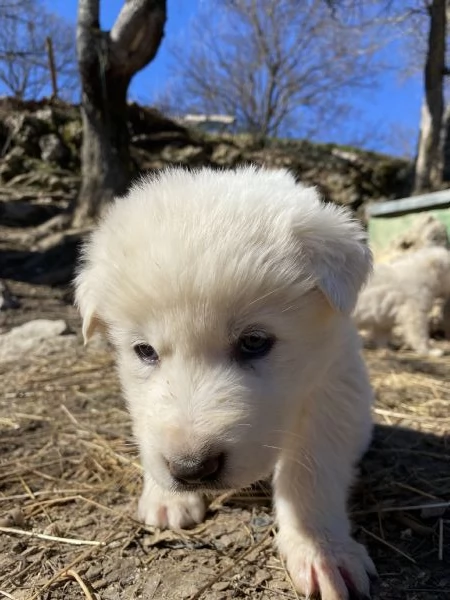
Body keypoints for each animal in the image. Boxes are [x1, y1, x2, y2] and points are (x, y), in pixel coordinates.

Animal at [76, 168, 376, 600]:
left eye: (254, 342)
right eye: (144, 350)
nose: (191, 469)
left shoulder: (331, 387)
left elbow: (312, 471)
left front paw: (322, 551)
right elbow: (150, 428)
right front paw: (165, 496)